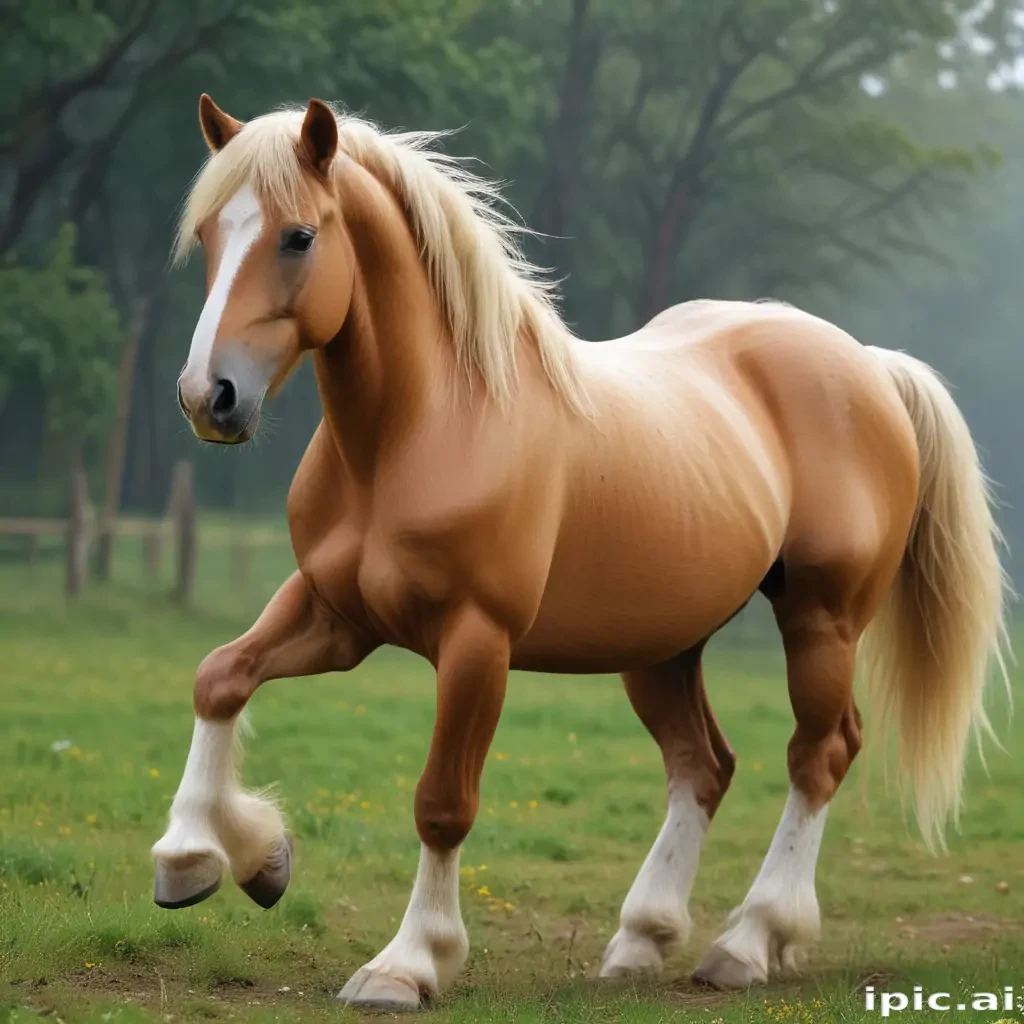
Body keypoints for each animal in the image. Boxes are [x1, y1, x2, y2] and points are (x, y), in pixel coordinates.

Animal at [153, 95, 1009, 1009]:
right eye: (210, 233)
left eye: (298, 237)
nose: (209, 396)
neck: (420, 429)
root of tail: (869, 367)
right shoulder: (334, 613)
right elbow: (219, 676)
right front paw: (218, 856)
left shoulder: (475, 642)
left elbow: (442, 802)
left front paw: (407, 963)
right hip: (663, 646)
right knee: (702, 764)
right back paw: (642, 938)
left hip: (822, 619)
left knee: (820, 754)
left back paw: (750, 941)